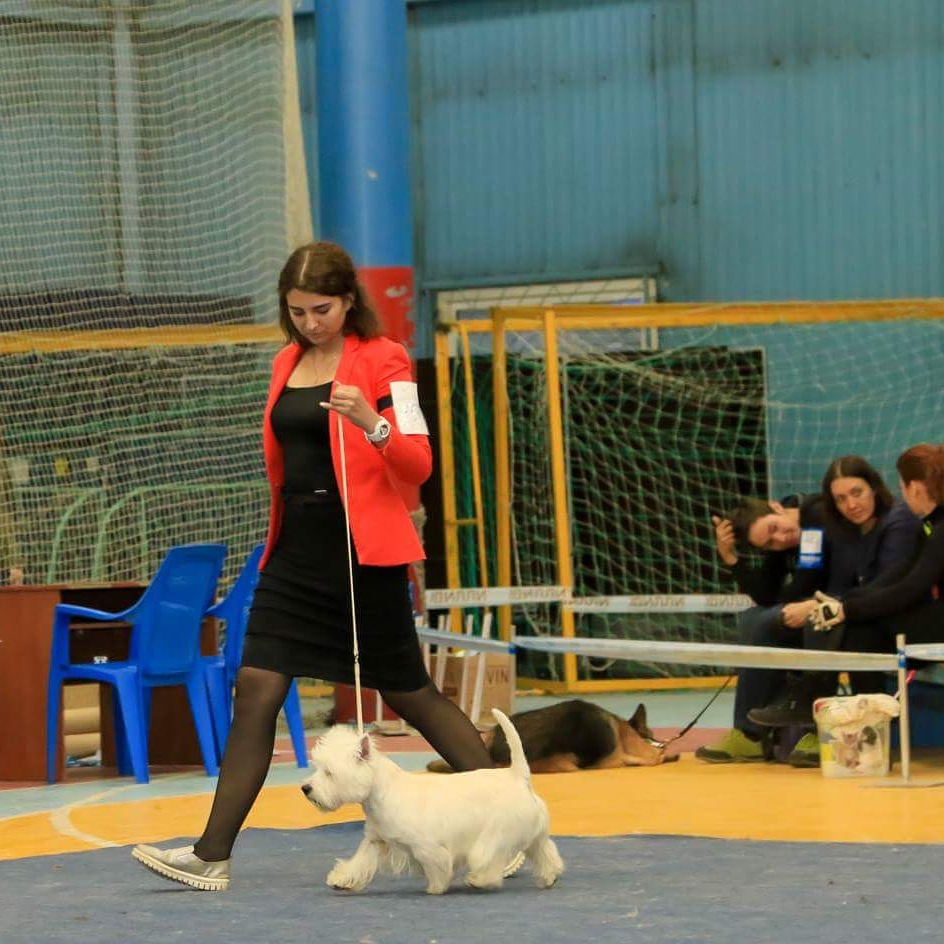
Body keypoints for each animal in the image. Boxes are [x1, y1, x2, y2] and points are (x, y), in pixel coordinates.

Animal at [300, 709, 564, 895]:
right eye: (318, 767)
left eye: (329, 773)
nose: (305, 788)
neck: (382, 792)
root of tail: (517, 775)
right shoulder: (377, 841)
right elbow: (360, 861)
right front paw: (341, 880)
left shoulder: (426, 846)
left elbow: (437, 865)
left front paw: (436, 887)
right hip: (534, 832)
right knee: (545, 850)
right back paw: (550, 876)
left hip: (498, 832)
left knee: (489, 857)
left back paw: (479, 879)